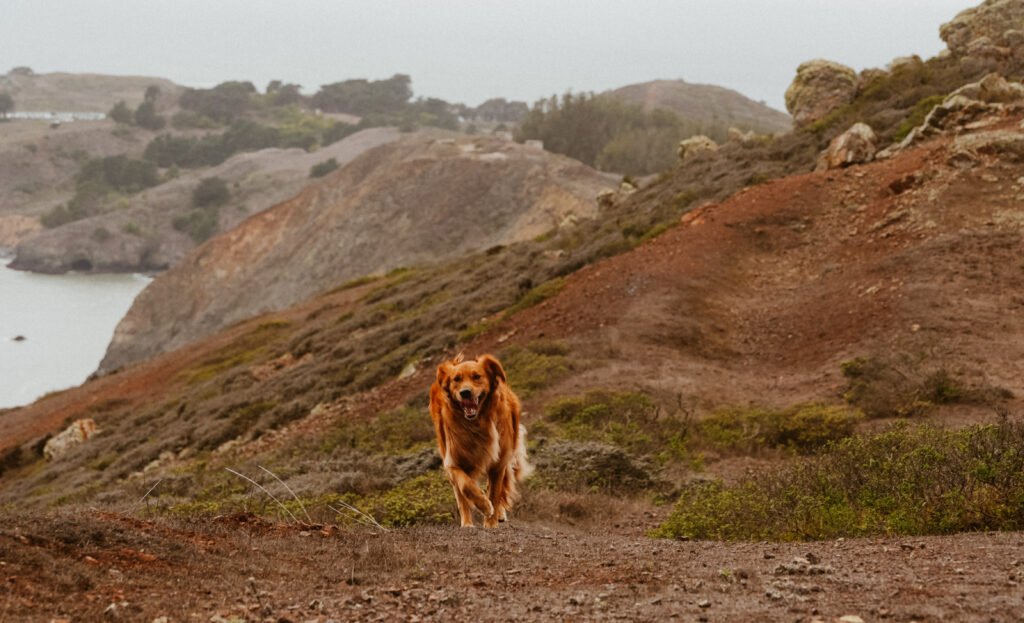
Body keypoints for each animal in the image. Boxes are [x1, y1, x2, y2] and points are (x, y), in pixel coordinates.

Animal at [428, 352, 532, 528]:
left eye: (477, 376)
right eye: (456, 379)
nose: (465, 392)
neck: (476, 423)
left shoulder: (499, 462)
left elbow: (495, 494)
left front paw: (490, 523)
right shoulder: (452, 462)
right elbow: (465, 485)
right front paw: (483, 506)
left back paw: (498, 514)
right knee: (461, 496)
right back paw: (467, 524)